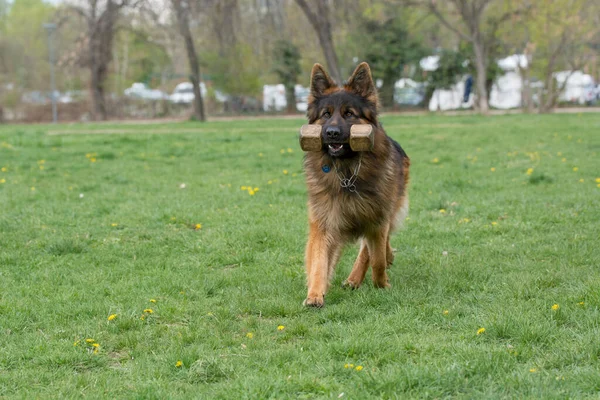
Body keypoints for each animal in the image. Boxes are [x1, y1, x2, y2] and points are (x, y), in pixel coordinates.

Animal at [302, 62, 410, 308]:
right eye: (326, 114)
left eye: (349, 114)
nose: (331, 133)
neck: (347, 173)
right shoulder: (324, 221)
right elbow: (319, 260)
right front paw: (315, 294)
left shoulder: (377, 218)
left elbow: (376, 258)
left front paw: (382, 285)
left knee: (372, 248)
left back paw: (358, 276)